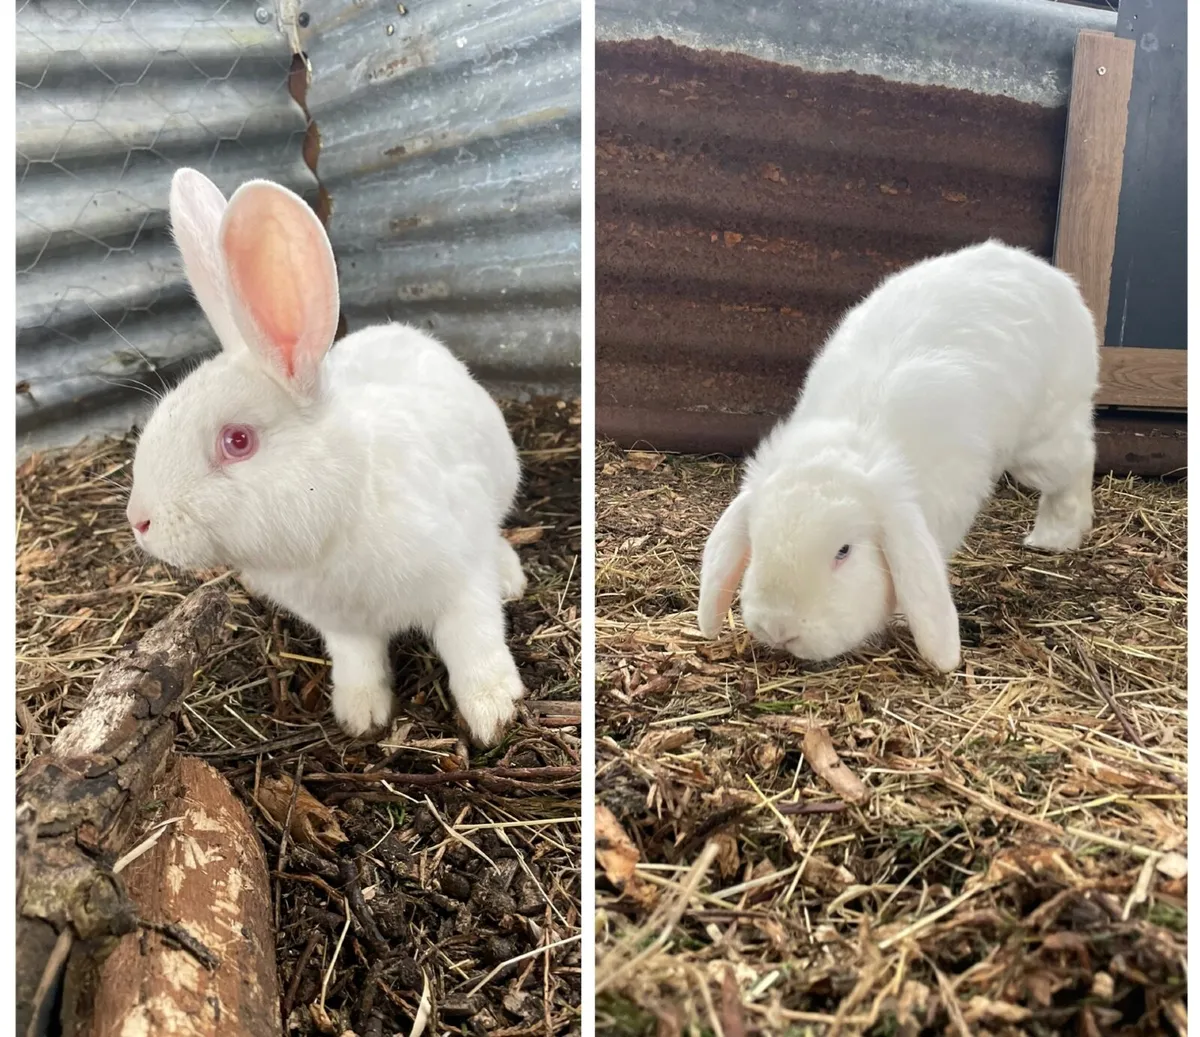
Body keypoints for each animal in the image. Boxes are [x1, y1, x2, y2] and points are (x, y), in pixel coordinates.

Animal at [125, 168, 528, 746]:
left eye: (238, 441)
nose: (139, 521)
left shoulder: (461, 583)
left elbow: (473, 645)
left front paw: (493, 714)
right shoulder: (344, 627)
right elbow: (359, 664)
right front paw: (360, 716)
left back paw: (511, 578)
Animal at [698, 239, 1098, 673]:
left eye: (844, 552)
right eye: (756, 542)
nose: (779, 629)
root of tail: (1042, 270)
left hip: (1043, 441)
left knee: (1080, 459)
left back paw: (1054, 537)